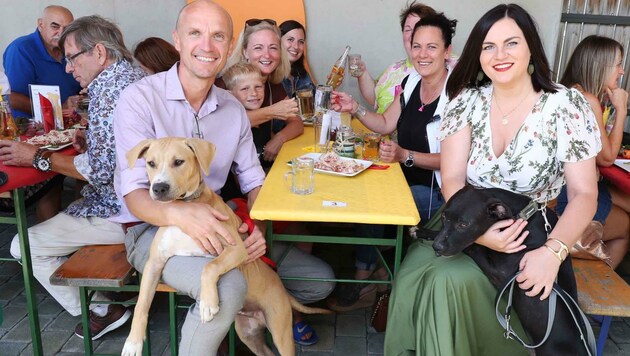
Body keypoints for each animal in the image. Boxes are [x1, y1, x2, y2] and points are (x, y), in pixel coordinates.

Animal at [121, 138, 334, 356]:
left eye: (179, 162)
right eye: (151, 163)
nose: (159, 188)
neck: (186, 206)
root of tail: (283, 290)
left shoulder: (236, 249)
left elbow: (210, 266)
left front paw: (208, 304)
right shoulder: (154, 263)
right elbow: (141, 304)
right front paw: (133, 342)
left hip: (280, 331)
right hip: (248, 333)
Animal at [432, 186, 596, 356]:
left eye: (463, 225)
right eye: (443, 217)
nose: (436, 247)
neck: (523, 216)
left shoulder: (500, 273)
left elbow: (473, 247)